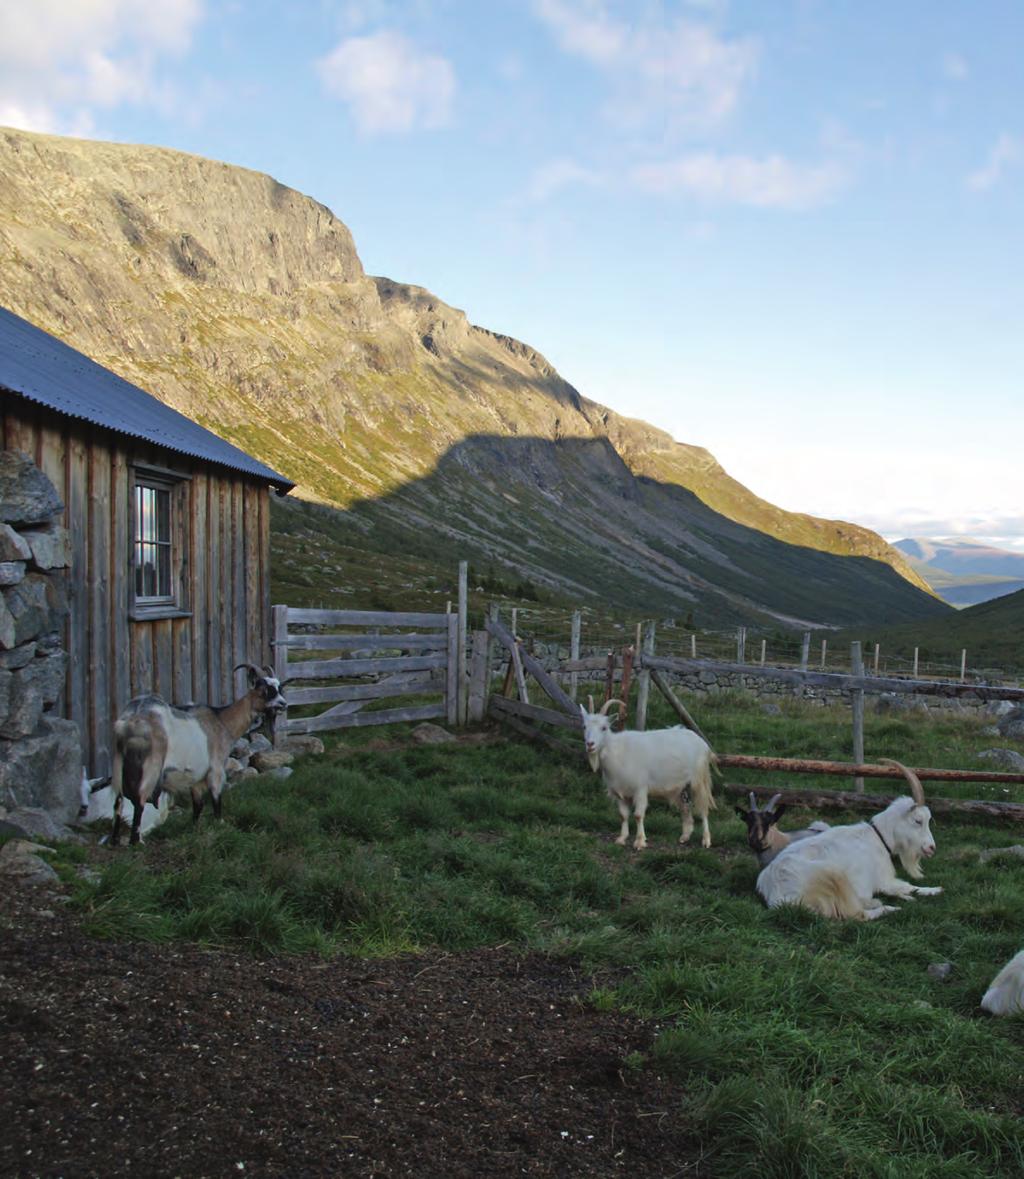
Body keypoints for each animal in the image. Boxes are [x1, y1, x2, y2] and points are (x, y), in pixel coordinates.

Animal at [109, 664, 285, 848]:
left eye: (279, 688)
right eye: (265, 690)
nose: (283, 704)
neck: (222, 722)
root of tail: (129, 721)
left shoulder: (195, 776)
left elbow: (198, 805)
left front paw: (194, 829)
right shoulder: (216, 768)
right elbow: (216, 798)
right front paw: (220, 825)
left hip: (118, 764)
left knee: (118, 801)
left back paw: (114, 840)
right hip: (151, 767)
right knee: (139, 801)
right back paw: (136, 842)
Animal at [579, 693, 716, 853]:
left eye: (604, 728)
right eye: (584, 726)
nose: (590, 744)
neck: (617, 751)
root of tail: (701, 741)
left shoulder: (640, 789)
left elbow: (638, 815)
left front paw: (639, 842)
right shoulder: (619, 791)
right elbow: (623, 815)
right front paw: (621, 839)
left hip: (699, 780)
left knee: (703, 808)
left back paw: (706, 840)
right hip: (682, 786)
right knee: (686, 807)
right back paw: (685, 836)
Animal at [754, 763, 937, 919]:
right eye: (918, 821)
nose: (931, 848)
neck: (878, 837)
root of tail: (775, 893)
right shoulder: (884, 880)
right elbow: (909, 886)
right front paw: (934, 889)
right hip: (832, 876)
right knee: (857, 914)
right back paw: (888, 908)